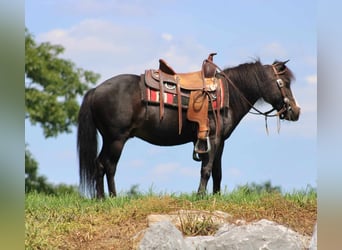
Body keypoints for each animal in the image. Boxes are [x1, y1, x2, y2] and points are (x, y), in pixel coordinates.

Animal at [77, 58, 300, 197]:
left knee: (100, 165)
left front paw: (215, 196)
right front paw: (200, 195)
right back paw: (110, 197)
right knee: (107, 166)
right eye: (284, 83)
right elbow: (206, 170)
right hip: (116, 139)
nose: (296, 111)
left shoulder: (220, 142)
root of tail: (96, 90)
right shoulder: (212, 139)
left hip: (110, 140)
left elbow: (217, 172)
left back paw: (103, 198)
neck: (228, 95)